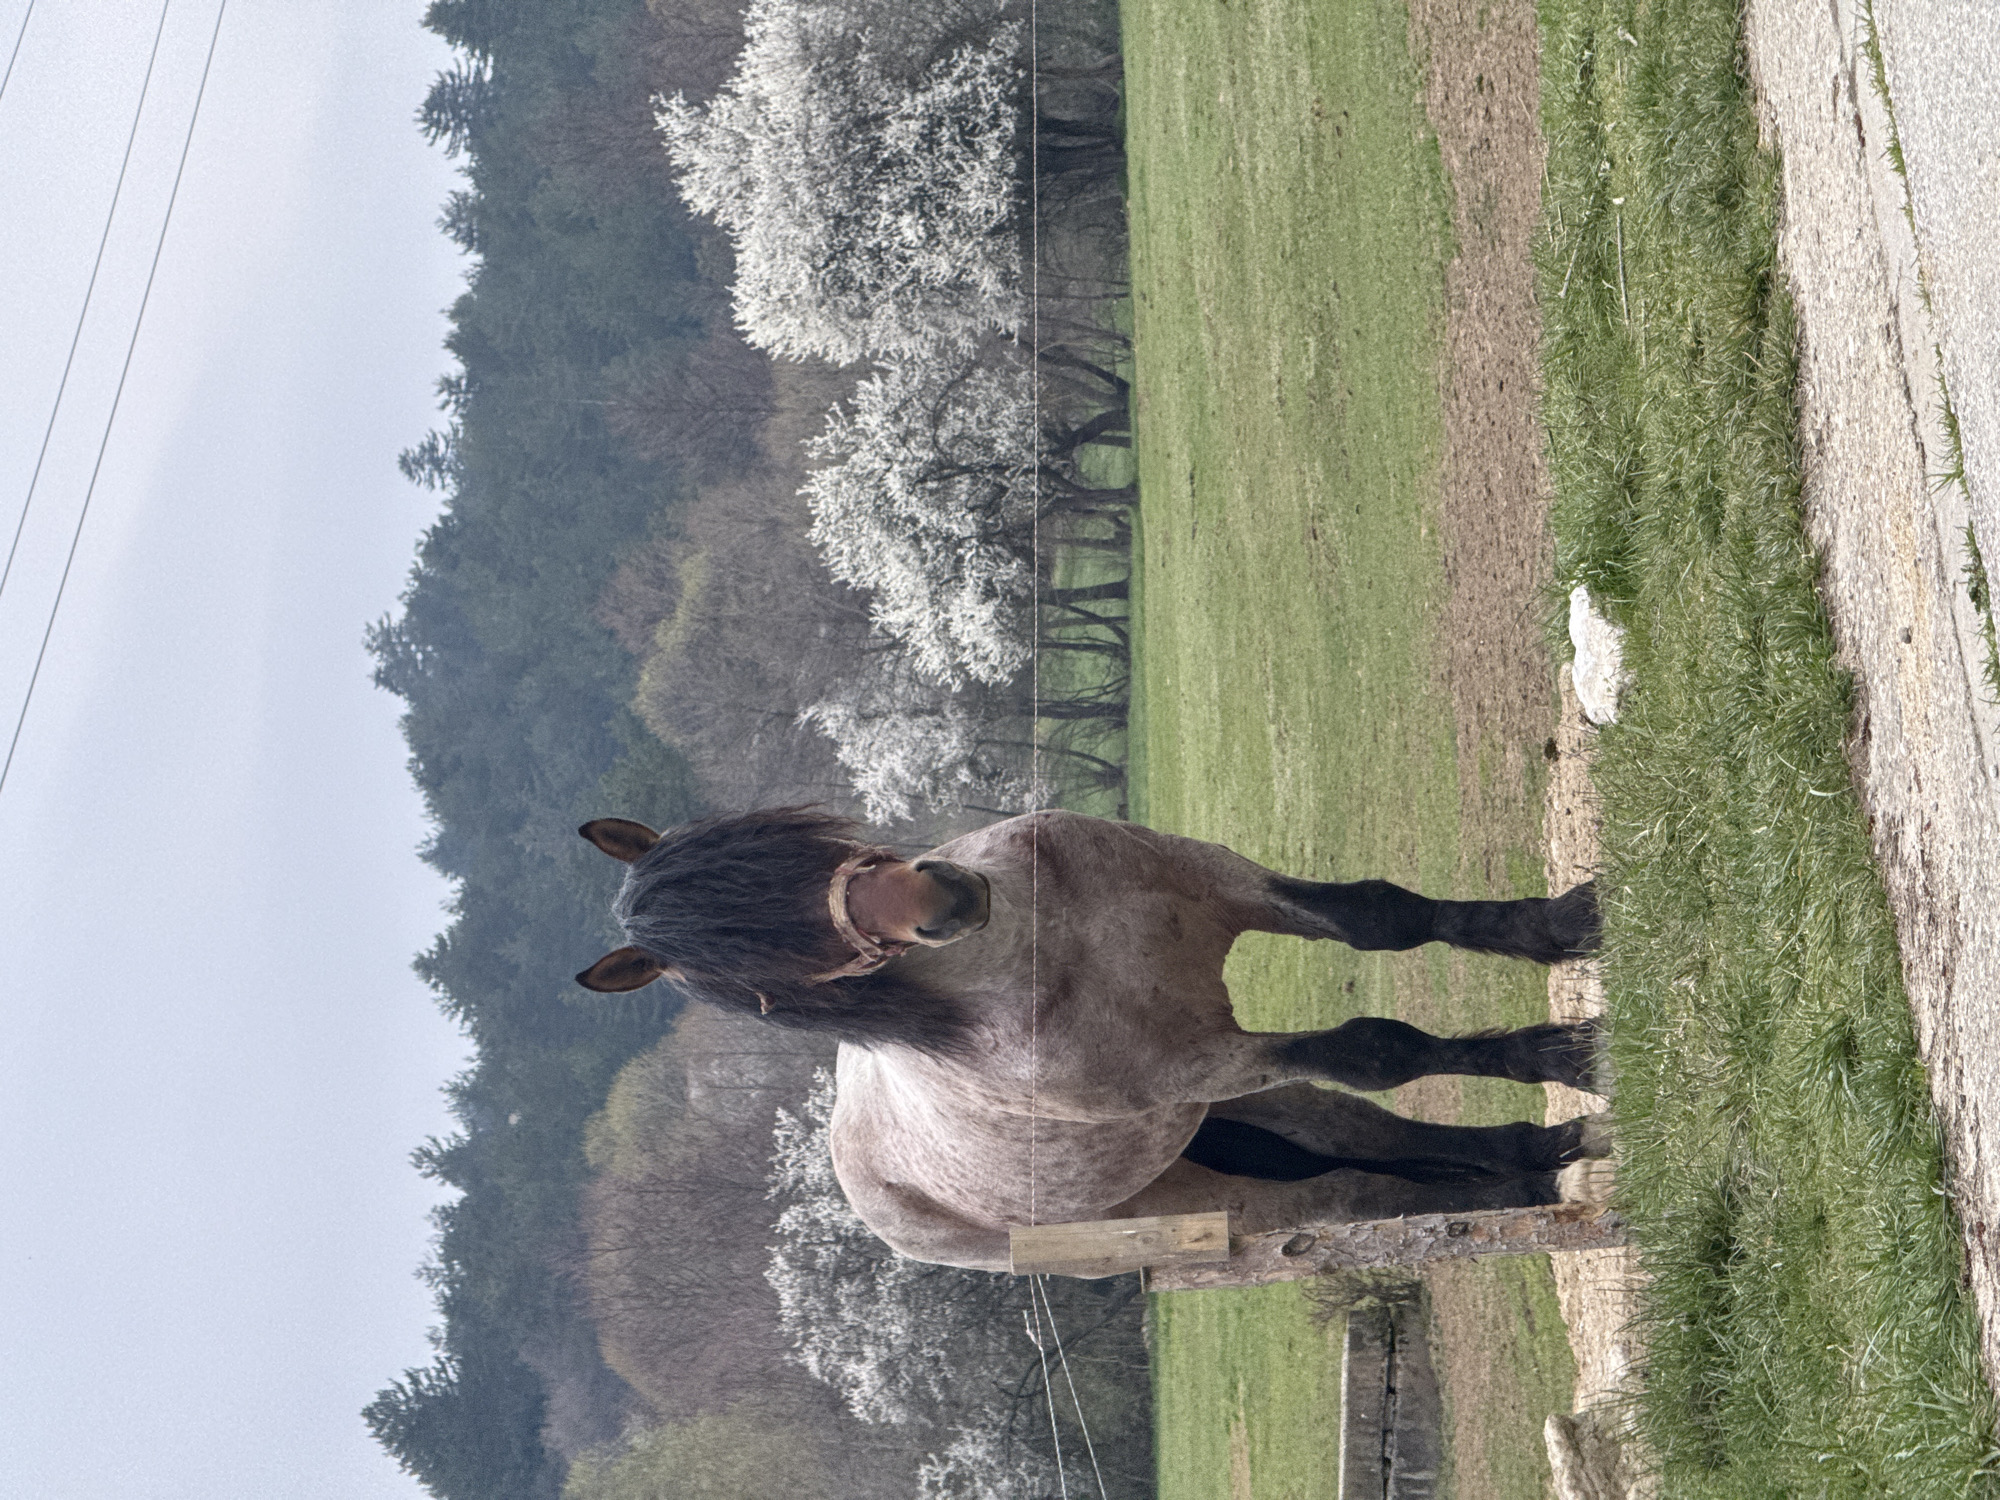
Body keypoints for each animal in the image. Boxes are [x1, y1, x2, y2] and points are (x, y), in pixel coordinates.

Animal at [575, 806, 1610, 1274]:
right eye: (774, 989)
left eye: (786, 841)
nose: (939, 899)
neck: (1039, 950)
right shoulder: (1206, 1059)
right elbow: (1380, 1050)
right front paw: (1568, 1057)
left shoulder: (1220, 885)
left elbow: (1380, 920)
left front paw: (1566, 928)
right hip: (1211, 1159)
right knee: (1349, 1171)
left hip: (1224, 1120)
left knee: (1365, 1145)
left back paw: (1534, 1158)